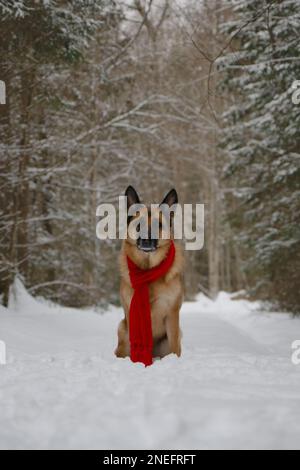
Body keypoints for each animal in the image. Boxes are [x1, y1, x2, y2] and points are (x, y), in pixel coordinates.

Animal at [115, 186, 184, 360]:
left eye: (157, 225)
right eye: (139, 225)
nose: (146, 240)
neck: (148, 271)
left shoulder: (172, 315)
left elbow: (175, 347)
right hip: (122, 329)